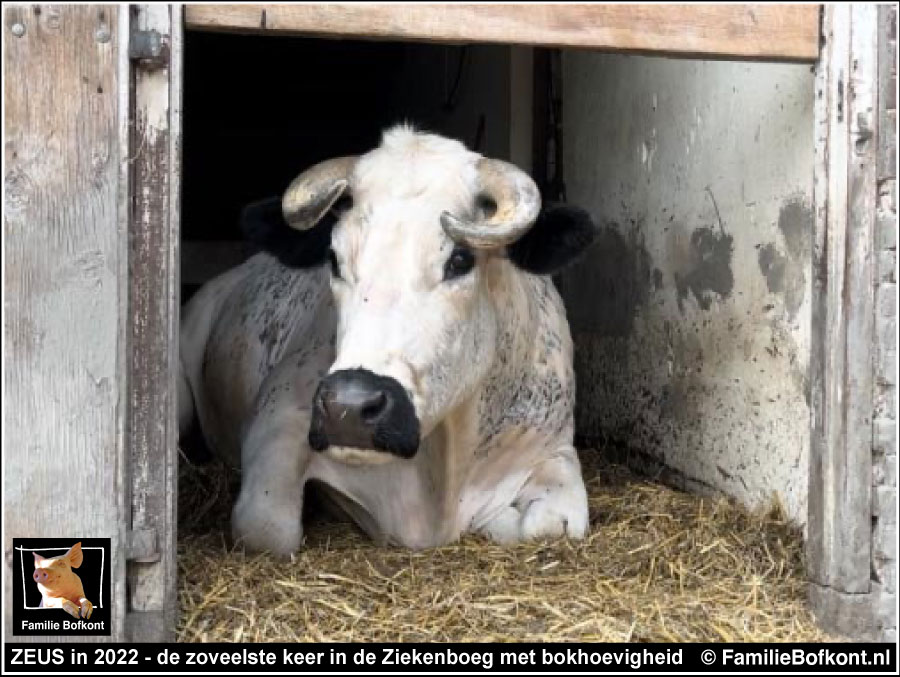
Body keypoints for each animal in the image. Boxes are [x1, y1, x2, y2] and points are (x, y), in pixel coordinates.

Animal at [178, 123, 596, 556]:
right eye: (334, 259)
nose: (348, 405)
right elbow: (267, 527)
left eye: (460, 260)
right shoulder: (278, 424)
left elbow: (549, 527)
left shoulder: (554, 448)